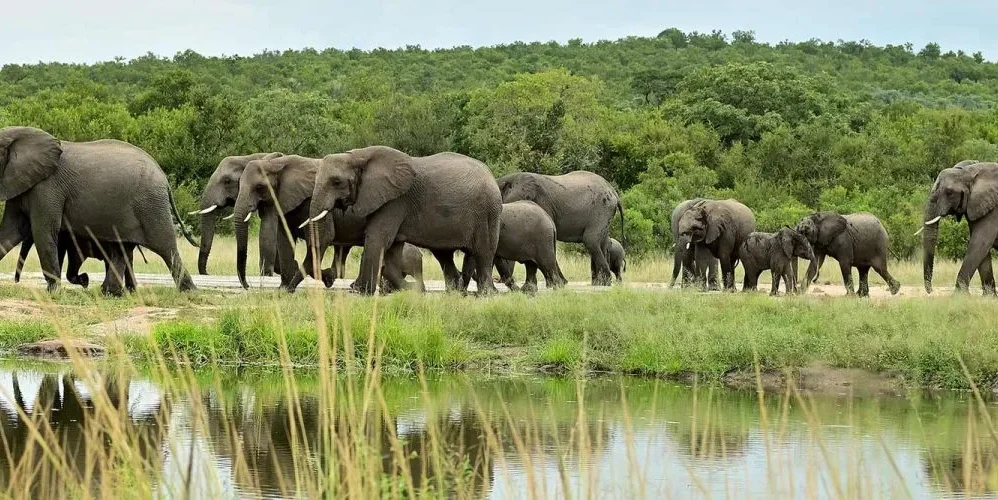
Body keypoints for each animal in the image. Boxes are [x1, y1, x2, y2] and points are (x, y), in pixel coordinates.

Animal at [0, 127, 196, 292]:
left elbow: (43, 231)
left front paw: (53, 292)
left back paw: (189, 292)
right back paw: (115, 292)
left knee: (165, 247)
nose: (16, 281)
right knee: (122, 249)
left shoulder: (48, 187)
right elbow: (11, 231)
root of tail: (163, 175)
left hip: (150, 205)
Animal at [303, 146, 502, 296]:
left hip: (487, 213)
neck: (359, 156)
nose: (328, 277)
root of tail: (491, 175)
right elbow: (391, 248)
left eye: (336, 182)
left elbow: (377, 238)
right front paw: (413, 290)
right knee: (444, 255)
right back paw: (455, 292)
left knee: (483, 252)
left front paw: (360, 291)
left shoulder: (395, 201)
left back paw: (486, 294)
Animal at [920, 160, 998, 294]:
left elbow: (979, 243)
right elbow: (982, 249)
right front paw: (988, 297)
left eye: (949, 192)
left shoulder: (994, 210)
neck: (970, 172)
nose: (931, 291)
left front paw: (959, 296)